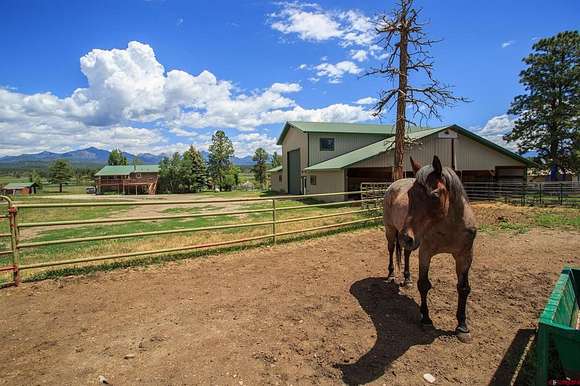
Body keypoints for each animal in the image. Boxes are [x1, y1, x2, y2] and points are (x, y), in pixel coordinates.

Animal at [382, 155, 474, 342]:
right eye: (410, 195)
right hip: (391, 231)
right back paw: (391, 275)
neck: (449, 227)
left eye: (435, 194)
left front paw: (462, 326)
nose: (405, 236)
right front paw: (426, 319)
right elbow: (424, 284)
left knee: (406, 254)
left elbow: (463, 288)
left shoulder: (465, 256)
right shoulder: (425, 253)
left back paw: (407, 279)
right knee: (391, 249)